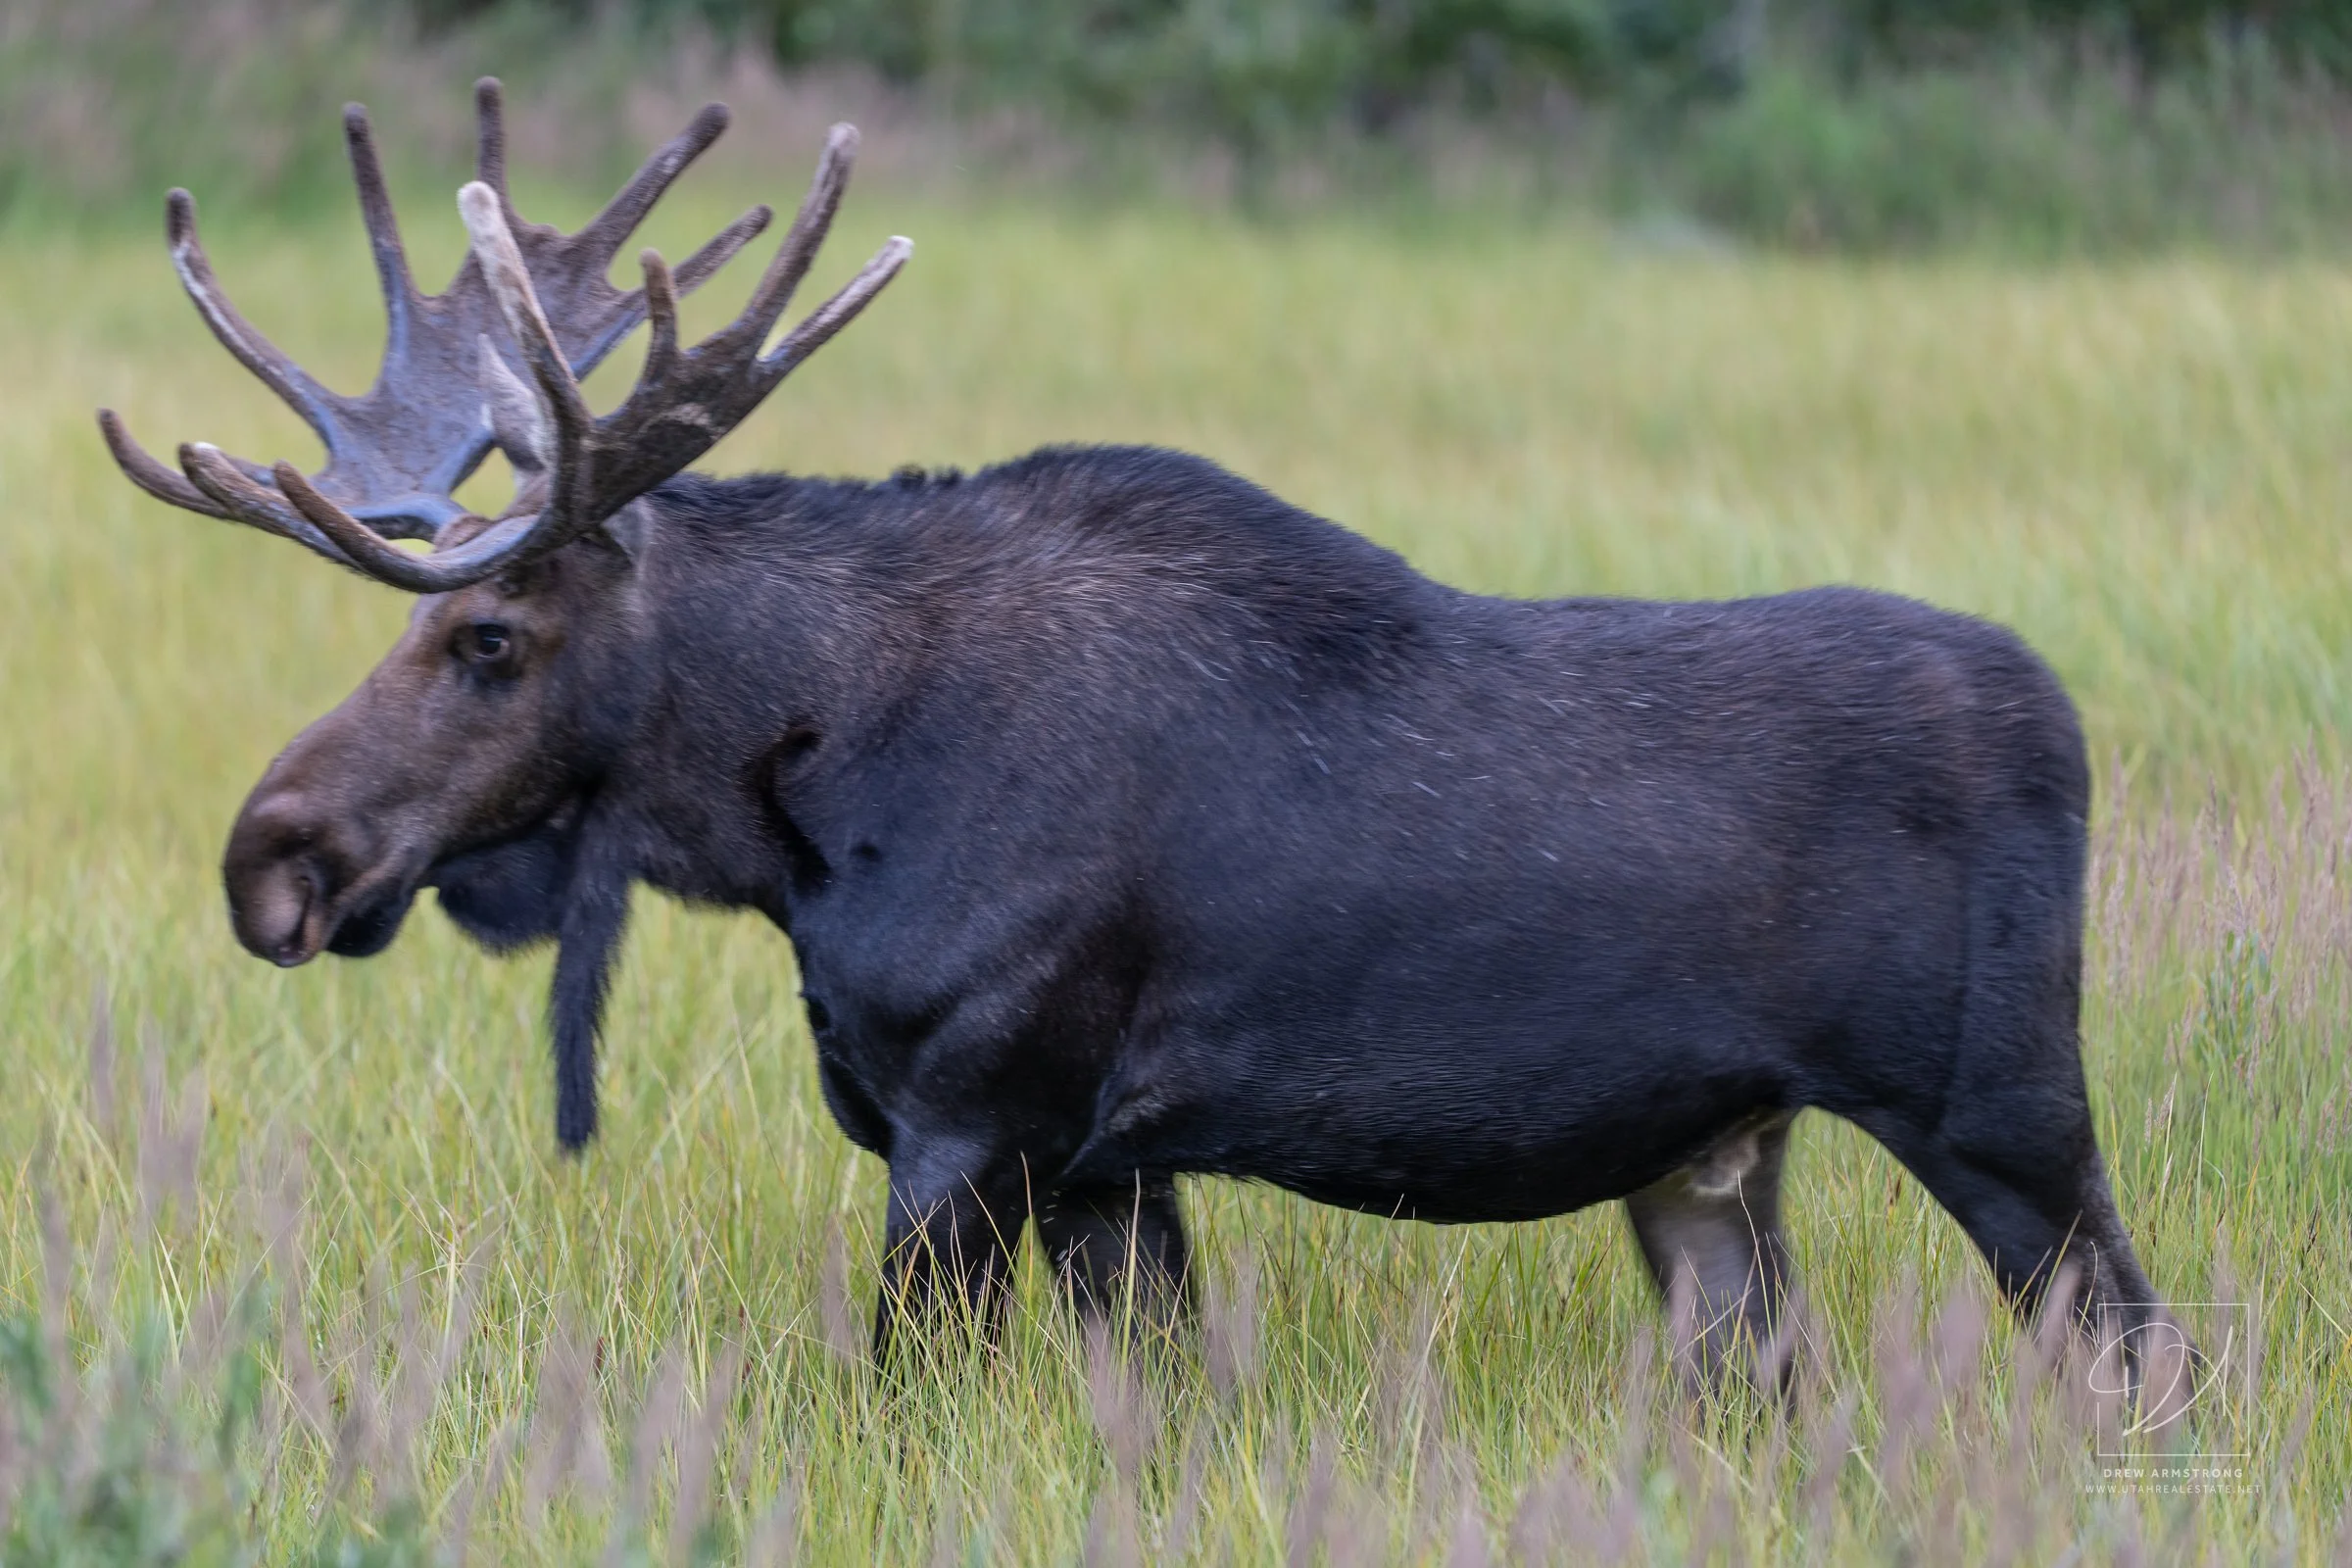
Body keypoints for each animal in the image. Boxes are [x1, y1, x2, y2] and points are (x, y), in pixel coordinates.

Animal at [100, 81, 2191, 1406]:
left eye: (492, 635)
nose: (271, 855)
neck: (803, 811)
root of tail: (2074, 729)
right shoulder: (1111, 1167)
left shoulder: (972, 1116)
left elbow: (900, 1405)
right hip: (1715, 1164)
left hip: (2002, 1113)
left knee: (2151, 1356)